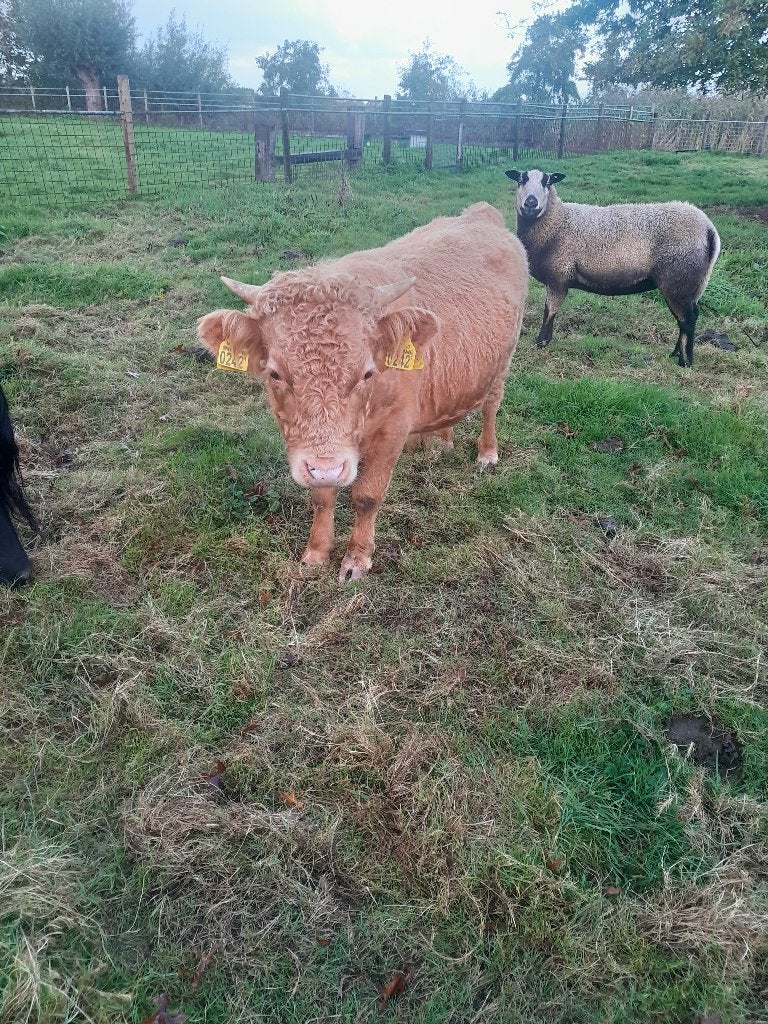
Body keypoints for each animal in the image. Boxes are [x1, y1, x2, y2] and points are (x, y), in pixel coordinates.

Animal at [197, 202, 528, 581]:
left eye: (367, 372)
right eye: (275, 373)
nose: (327, 468)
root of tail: (481, 213)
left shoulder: (392, 430)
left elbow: (367, 496)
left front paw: (357, 559)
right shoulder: (321, 454)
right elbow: (322, 496)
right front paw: (316, 552)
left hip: (503, 362)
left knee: (491, 406)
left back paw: (487, 453)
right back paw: (441, 441)